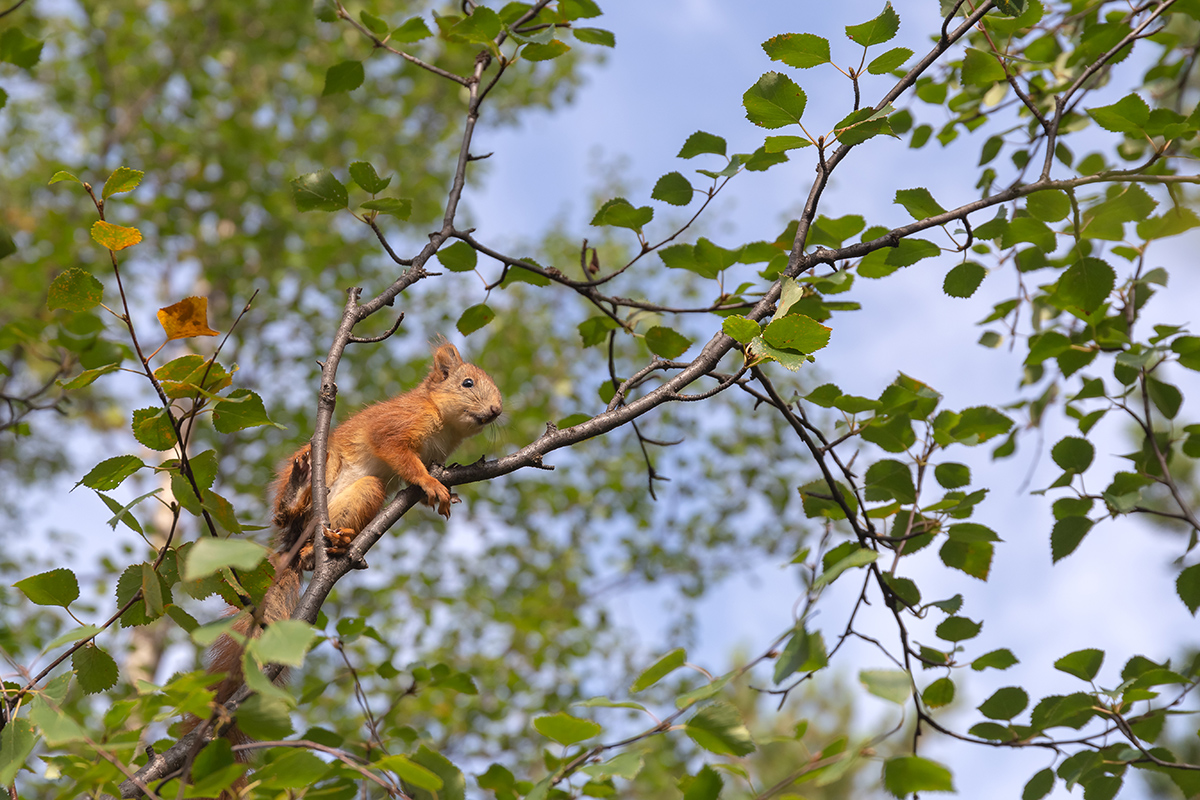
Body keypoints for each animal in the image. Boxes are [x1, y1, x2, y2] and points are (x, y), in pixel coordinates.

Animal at [186, 343, 501, 782]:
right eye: (467, 382)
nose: (496, 410)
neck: (443, 421)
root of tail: (291, 544)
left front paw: (436, 493)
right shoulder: (397, 426)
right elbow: (400, 454)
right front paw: (431, 484)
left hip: (365, 492)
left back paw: (329, 547)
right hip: (323, 467)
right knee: (288, 513)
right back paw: (297, 494)